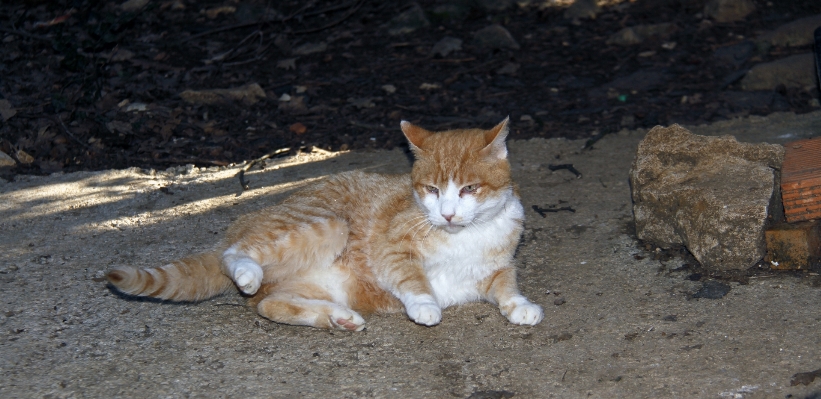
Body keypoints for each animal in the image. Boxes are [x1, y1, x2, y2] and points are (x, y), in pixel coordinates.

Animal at [109, 118, 544, 332]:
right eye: (432, 190)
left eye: (469, 188)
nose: (448, 214)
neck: (464, 235)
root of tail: (244, 221)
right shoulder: (392, 248)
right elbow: (411, 277)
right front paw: (425, 304)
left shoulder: (497, 268)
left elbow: (507, 287)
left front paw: (520, 307)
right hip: (326, 224)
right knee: (236, 256)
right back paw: (247, 271)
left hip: (320, 285)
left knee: (268, 304)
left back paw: (336, 317)